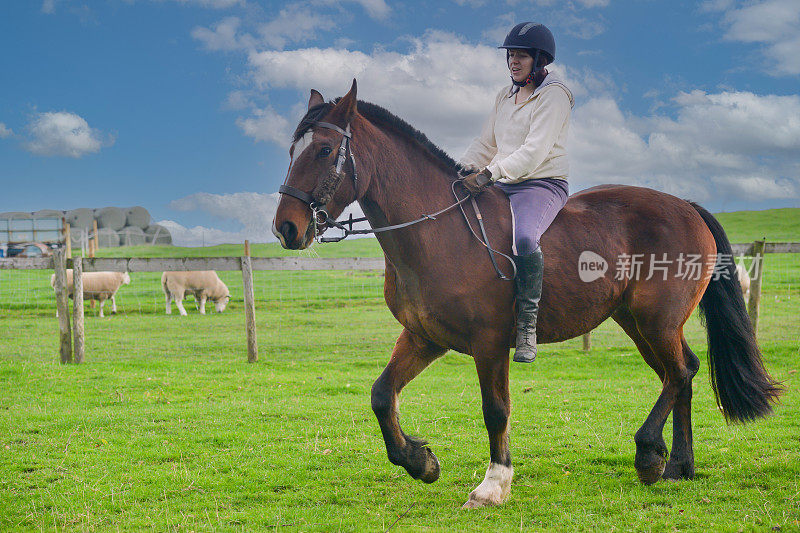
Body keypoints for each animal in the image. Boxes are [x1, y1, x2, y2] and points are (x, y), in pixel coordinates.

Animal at [270, 79, 780, 508]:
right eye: (294, 150)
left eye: (324, 149)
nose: (286, 228)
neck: (437, 232)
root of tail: (685, 207)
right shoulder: (424, 337)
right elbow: (381, 395)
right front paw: (421, 463)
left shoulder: (489, 343)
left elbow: (496, 410)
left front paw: (493, 485)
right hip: (638, 323)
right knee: (680, 373)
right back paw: (678, 466)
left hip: (656, 321)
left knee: (680, 373)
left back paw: (650, 456)